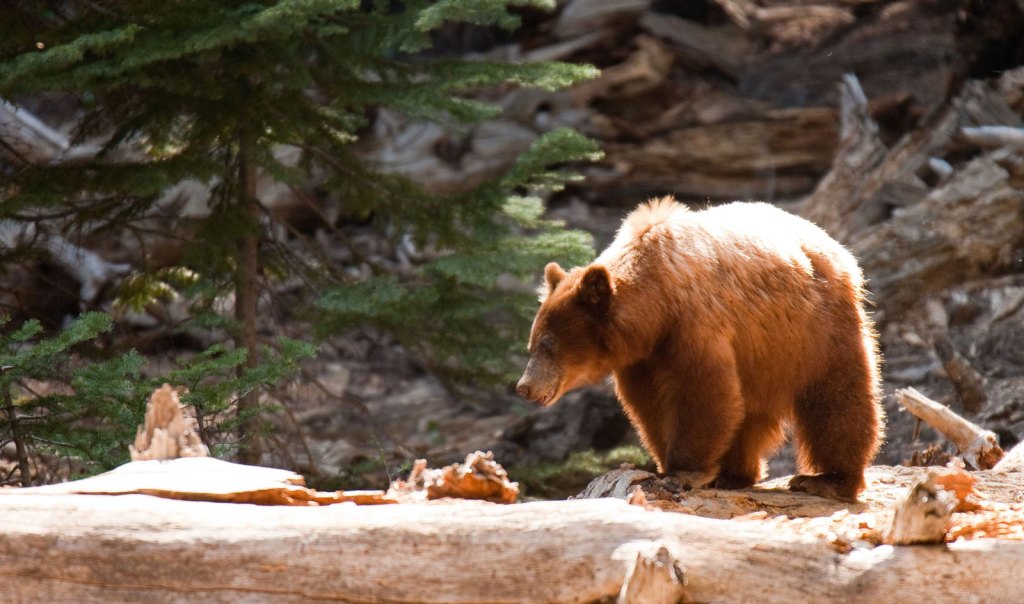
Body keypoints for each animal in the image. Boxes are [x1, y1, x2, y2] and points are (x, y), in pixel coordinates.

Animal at [516, 197, 884, 501]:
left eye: (548, 345)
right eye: (532, 343)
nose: (524, 387)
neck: (655, 305)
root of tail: (834, 246)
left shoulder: (694, 325)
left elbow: (703, 392)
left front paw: (683, 472)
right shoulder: (643, 358)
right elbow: (649, 404)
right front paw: (665, 464)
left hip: (816, 331)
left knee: (837, 400)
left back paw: (827, 480)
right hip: (764, 355)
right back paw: (735, 474)